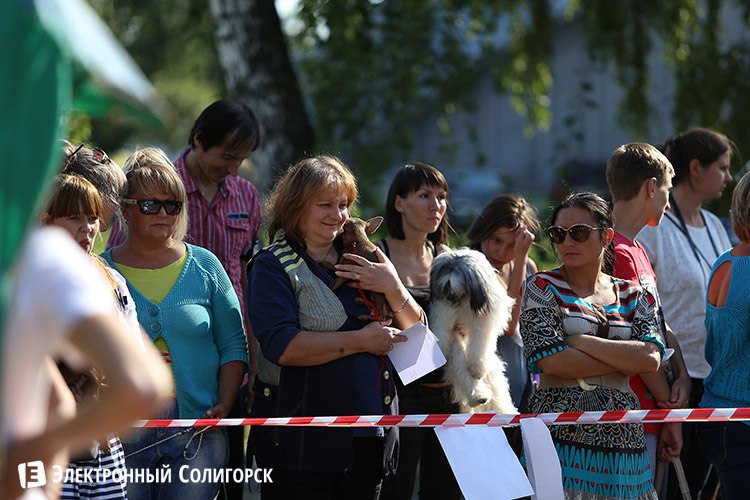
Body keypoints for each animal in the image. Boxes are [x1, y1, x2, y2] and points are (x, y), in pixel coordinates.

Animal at [429, 248, 517, 413]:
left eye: (453, 282)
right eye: (445, 286)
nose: (449, 297)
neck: (464, 302)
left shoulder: (483, 323)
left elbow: (479, 345)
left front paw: (477, 369)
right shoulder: (445, 317)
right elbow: (444, 335)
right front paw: (440, 350)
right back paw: (477, 396)